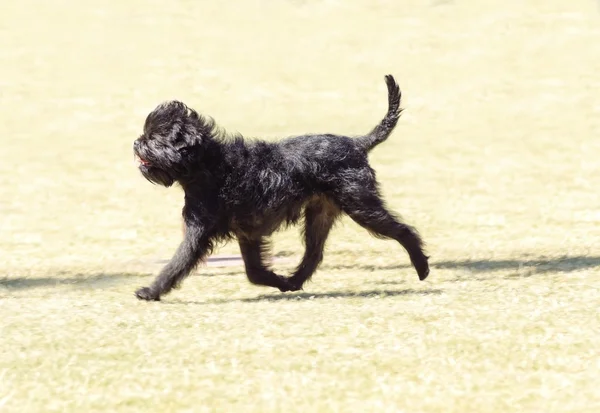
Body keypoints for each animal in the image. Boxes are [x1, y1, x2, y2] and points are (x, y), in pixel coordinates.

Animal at [134, 74, 428, 300]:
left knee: (403, 230)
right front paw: (279, 282)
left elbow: (179, 261)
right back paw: (294, 281)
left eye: (153, 138)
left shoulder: (200, 230)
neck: (209, 165)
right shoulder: (248, 232)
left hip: (360, 203)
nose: (136, 143)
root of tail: (357, 144)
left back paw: (422, 267)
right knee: (314, 253)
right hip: (320, 214)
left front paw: (150, 291)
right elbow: (254, 271)